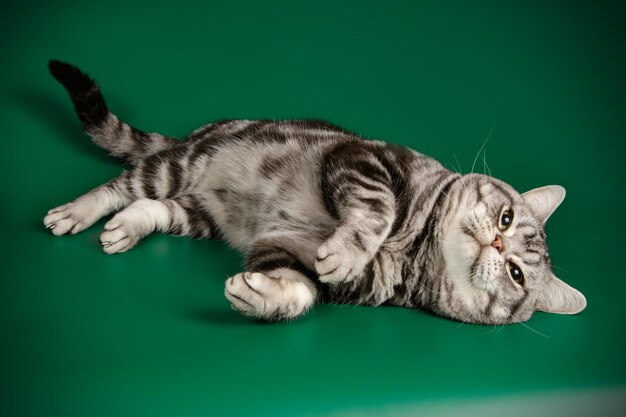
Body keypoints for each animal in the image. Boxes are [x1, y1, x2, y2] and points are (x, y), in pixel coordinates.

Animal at [44, 60, 584, 324]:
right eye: (506, 219)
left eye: (516, 274)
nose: (497, 242)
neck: (418, 248)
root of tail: (196, 133)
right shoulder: (367, 160)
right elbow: (378, 209)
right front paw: (348, 249)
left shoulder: (297, 257)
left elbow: (299, 290)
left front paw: (260, 297)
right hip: (180, 165)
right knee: (121, 185)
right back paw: (74, 212)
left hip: (200, 215)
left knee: (150, 207)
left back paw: (125, 229)